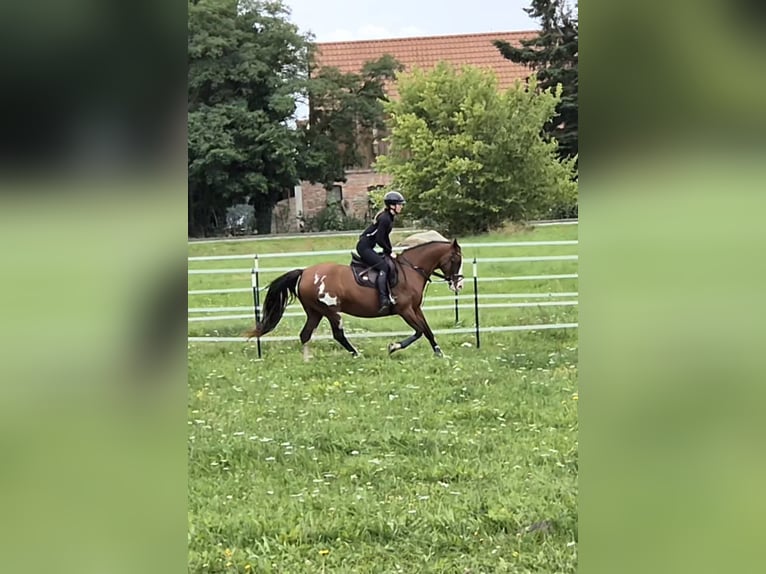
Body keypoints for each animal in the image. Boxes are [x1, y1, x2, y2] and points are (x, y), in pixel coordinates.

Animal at [244, 231, 464, 359]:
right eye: (456, 259)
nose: (459, 284)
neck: (410, 270)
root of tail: (304, 272)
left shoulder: (415, 309)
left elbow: (427, 331)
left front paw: (439, 353)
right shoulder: (404, 310)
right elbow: (418, 331)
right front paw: (393, 346)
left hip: (315, 312)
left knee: (305, 334)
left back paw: (308, 359)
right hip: (330, 311)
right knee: (337, 334)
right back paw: (356, 354)